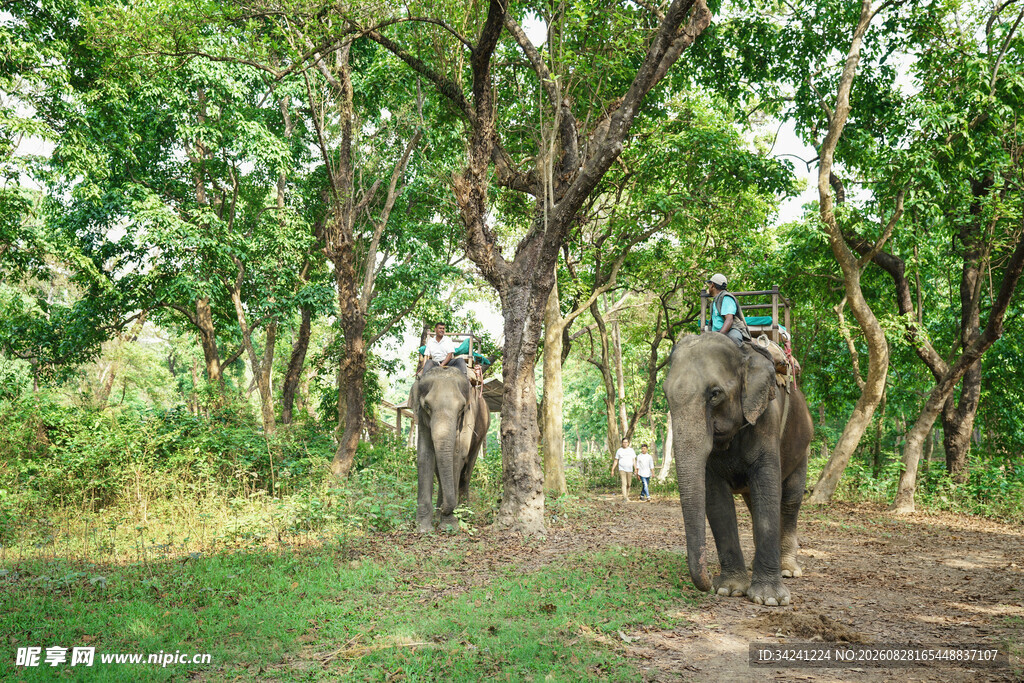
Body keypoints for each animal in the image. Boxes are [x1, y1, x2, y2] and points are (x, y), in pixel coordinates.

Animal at [410, 366, 490, 532]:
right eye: (427, 406)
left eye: (462, 408)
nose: (444, 509)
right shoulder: (421, 418)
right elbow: (425, 455)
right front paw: (423, 528)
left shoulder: (468, 417)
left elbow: (457, 455)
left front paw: (448, 525)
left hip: (482, 430)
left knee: (466, 472)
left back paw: (464, 514)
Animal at [663, 333, 813, 606]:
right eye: (666, 394)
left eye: (715, 394)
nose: (708, 583)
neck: (743, 354)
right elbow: (716, 499)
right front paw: (730, 589)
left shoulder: (767, 419)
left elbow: (767, 487)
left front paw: (770, 599)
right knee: (755, 504)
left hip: (803, 446)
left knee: (789, 501)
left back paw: (787, 570)